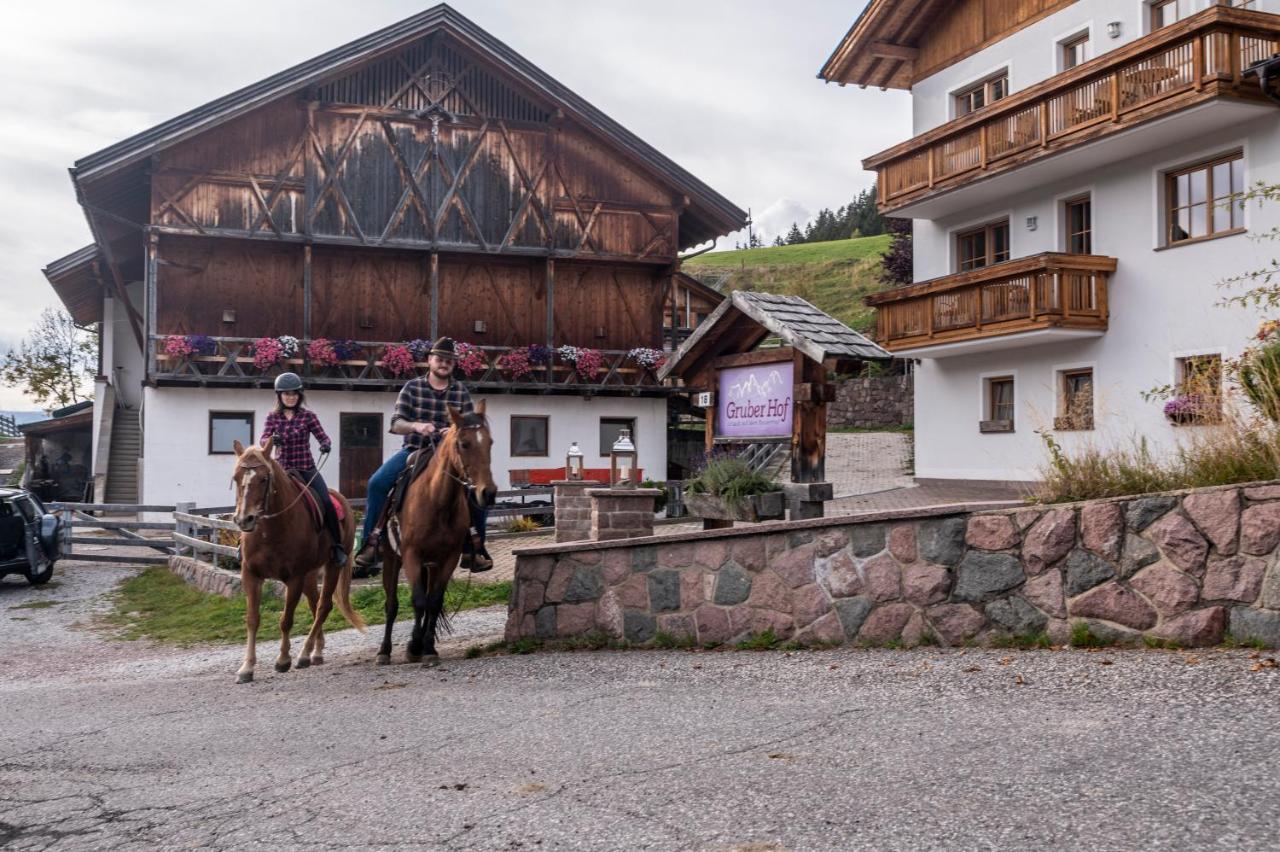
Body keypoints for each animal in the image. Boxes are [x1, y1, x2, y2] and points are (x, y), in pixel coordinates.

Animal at [230, 437, 366, 685]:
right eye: (236, 478)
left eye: (263, 479)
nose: (245, 519)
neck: (271, 530)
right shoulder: (251, 575)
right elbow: (252, 619)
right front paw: (247, 668)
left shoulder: (293, 578)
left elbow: (286, 619)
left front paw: (283, 660)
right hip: (310, 574)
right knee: (314, 603)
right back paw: (316, 652)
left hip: (331, 567)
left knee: (323, 606)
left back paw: (304, 654)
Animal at [373, 401, 494, 665]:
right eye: (464, 444)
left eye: (490, 442)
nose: (488, 493)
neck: (436, 501)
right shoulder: (411, 555)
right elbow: (418, 602)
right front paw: (414, 646)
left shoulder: (447, 558)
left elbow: (434, 602)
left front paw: (427, 647)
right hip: (392, 559)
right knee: (391, 604)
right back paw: (384, 651)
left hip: (431, 564)